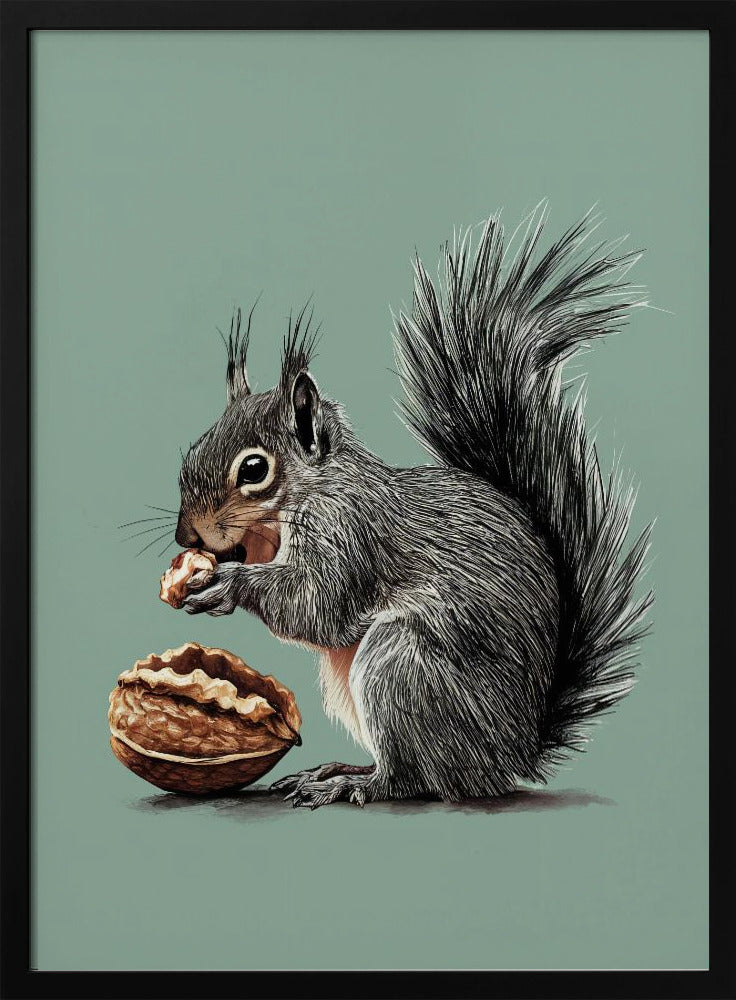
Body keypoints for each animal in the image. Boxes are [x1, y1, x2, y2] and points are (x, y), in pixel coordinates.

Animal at [175, 205, 653, 809]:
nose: (186, 537)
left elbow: (318, 606)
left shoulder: (350, 532)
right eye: (194, 448)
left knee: (412, 779)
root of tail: (513, 757)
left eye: (254, 470)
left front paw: (228, 584)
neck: (309, 494)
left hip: (401, 667)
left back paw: (354, 784)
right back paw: (336, 769)